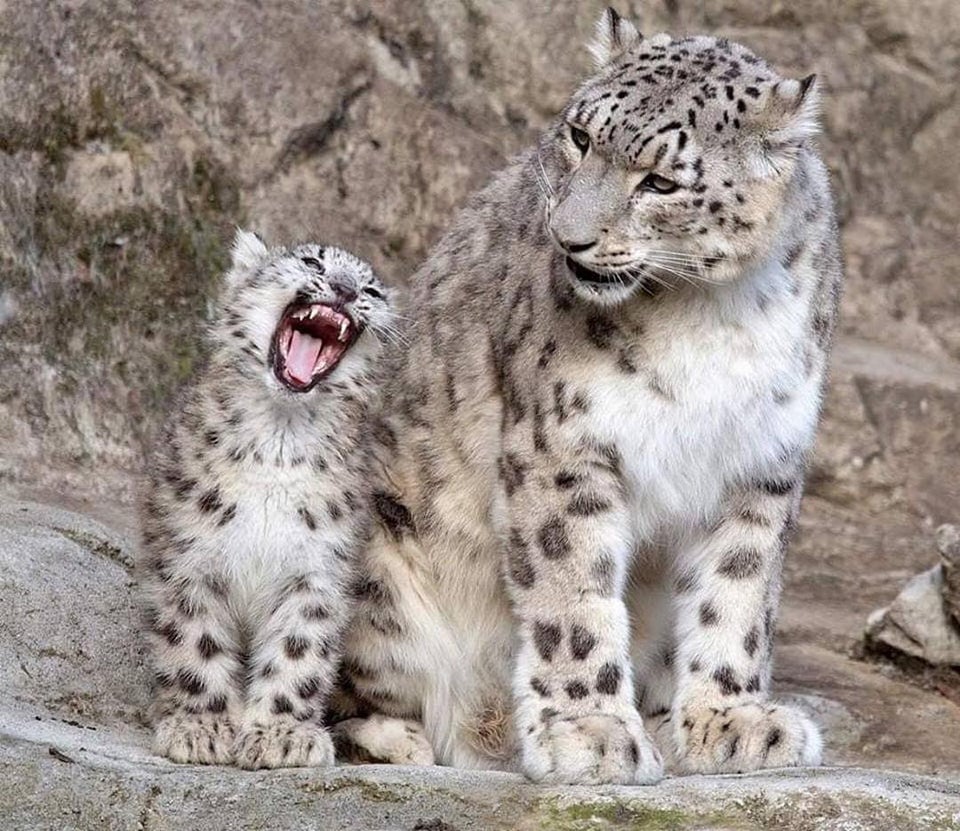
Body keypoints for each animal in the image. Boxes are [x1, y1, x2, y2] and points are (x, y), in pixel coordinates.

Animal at [136, 229, 418, 769]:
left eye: (371, 290)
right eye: (313, 262)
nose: (346, 289)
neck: (280, 440)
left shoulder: (317, 570)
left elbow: (298, 652)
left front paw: (281, 735)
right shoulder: (190, 555)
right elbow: (195, 640)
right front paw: (201, 728)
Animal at [334, 8, 842, 785]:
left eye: (660, 181)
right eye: (579, 135)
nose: (568, 238)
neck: (713, 312)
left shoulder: (761, 461)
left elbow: (738, 593)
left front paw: (732, 720)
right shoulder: (564, 445)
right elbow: (573, 593)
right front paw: (591, 732)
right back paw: (401, 740)